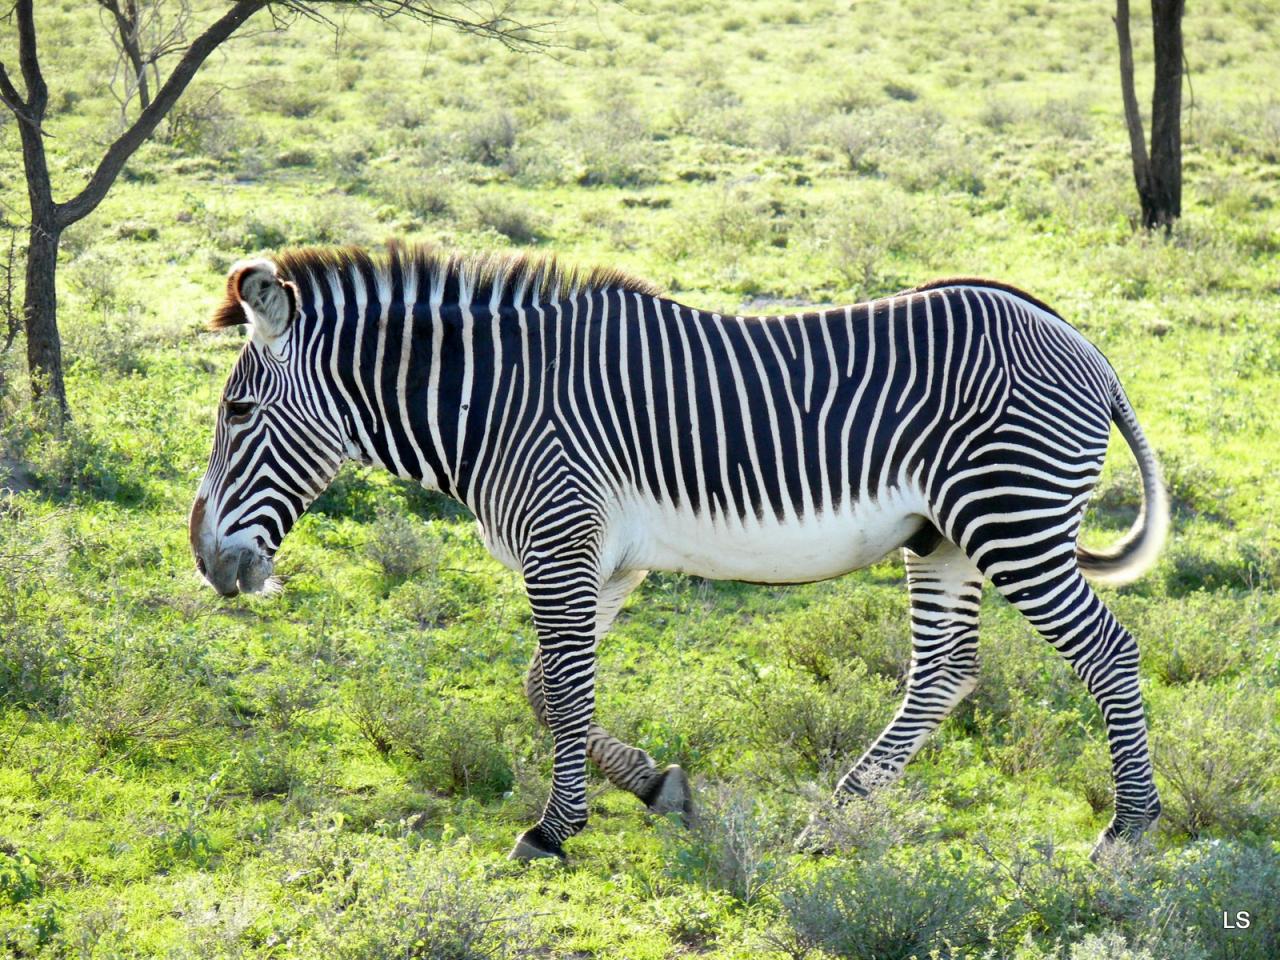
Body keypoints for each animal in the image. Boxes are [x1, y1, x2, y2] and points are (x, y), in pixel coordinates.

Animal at [186, 241, 1172, 865]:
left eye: (237, 413)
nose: (206, 562)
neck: (491, 404)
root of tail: (1085, 345)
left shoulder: (561, 539)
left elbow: (564, 692)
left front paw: (555, 829)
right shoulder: (605, 559)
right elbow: (544, 688)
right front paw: (659, 788)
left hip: (1013, 520)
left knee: (1108, 653)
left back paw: (1127, 833)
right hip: (944, 539)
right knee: (946, 672)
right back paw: (834, 819)